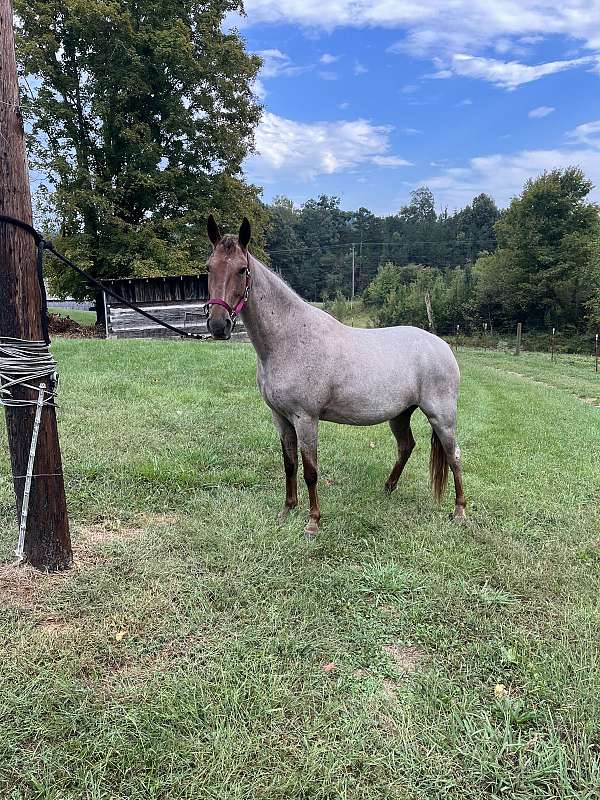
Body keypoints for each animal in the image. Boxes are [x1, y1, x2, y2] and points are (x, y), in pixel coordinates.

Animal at [204, 216, 466, 536]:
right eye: (209, 267)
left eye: (242, 269)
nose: (219, 326)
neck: (289, 339)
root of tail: (441, 345)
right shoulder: (280, 418)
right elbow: (289, 464)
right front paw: (286, 511)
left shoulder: (306, 418)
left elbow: (310, 470)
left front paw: (313, 522)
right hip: (400, 414)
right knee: (406, 447)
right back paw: (388, 488)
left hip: (441, 416)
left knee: (454, 456)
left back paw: (459, 511)